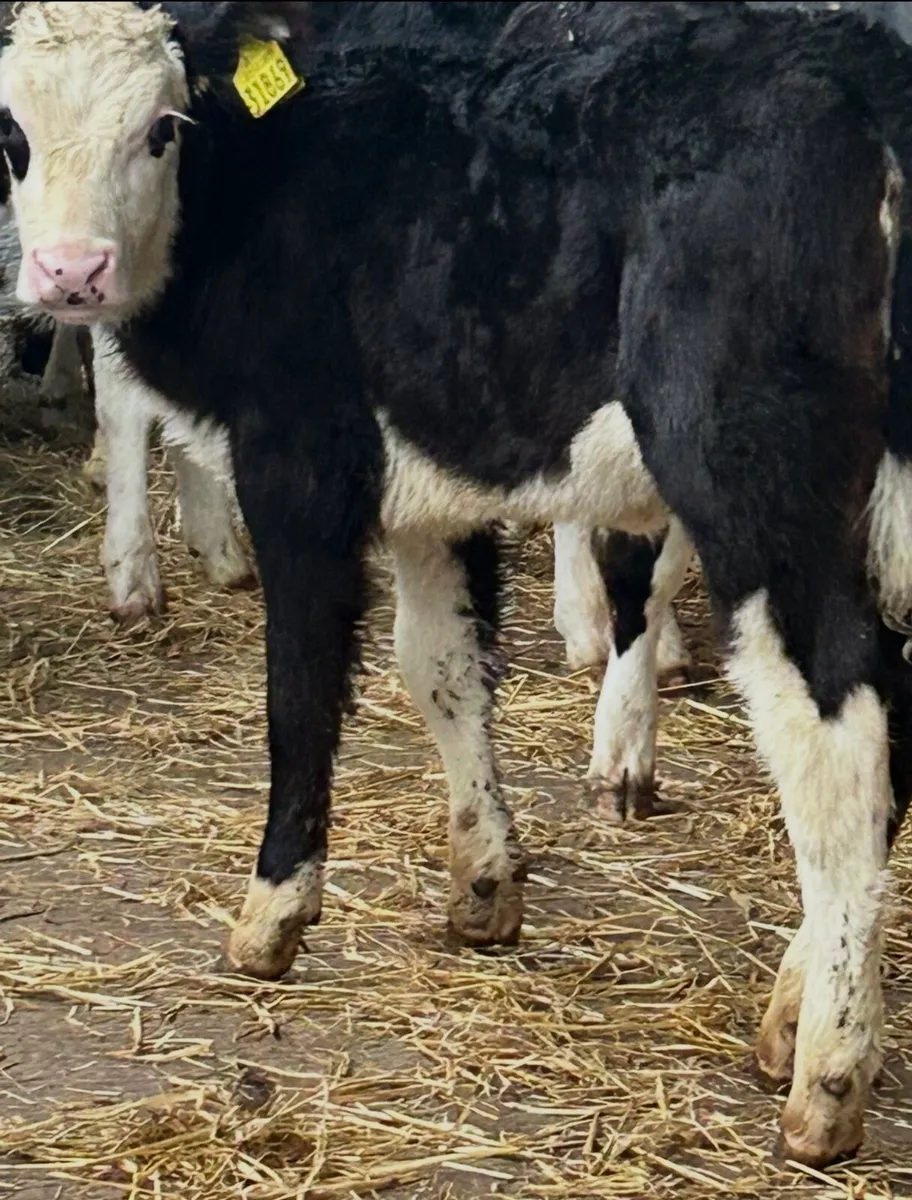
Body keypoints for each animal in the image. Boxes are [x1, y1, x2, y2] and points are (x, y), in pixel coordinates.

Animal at [3, 0, 912, 1166]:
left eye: (162, 127)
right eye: (12, 132)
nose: (69, 274)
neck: (268, 183)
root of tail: (861, 68)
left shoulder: (300, 461)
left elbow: (301, 690)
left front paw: (273, 910)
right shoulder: (429, 495)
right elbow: (439, 671)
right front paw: (484, 880)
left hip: (761, 489)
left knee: (836, 738)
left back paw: (828, 1073)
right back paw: (795, 1012)